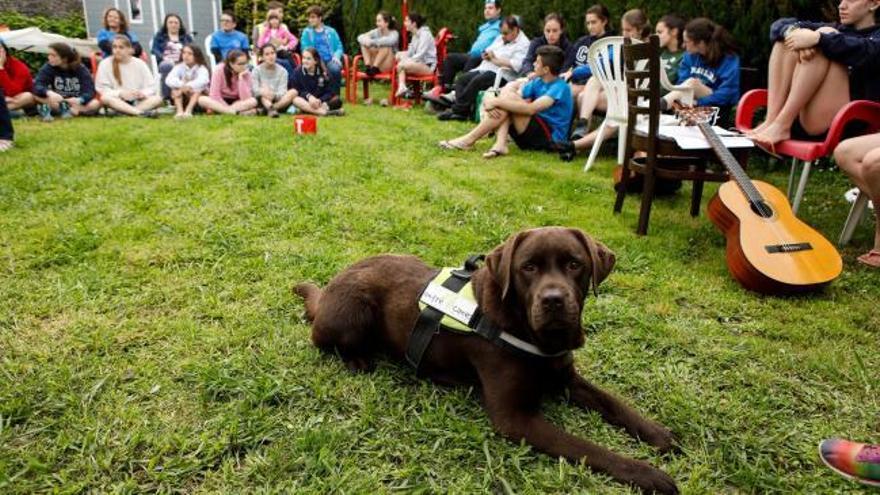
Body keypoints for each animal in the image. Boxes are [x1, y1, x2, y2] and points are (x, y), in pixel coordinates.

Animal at [298, 227, 680, 494]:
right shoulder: (515, 418)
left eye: (575, 264)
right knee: (321, 339)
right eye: (528, 267)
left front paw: (657, 433)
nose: (553, 300)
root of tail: (329, 287)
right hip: (352, 313)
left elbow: (614, 403)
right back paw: (357, 359)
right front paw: (648, 474)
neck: (534, 335)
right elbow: (588, 448)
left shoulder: (565, 377)